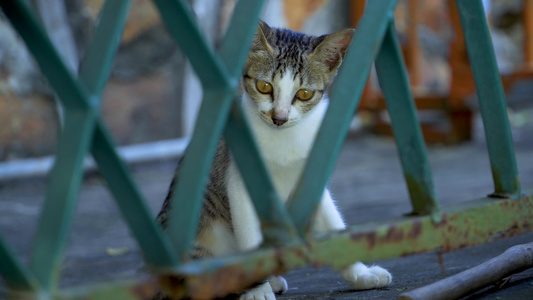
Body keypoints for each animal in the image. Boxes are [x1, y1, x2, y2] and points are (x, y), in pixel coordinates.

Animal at [156, 21, 388, 300]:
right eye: (264, 87)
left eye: (304, 93)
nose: (279, 118)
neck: (283, 140)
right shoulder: (238, 183)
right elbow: (250, 239)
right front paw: (257, 289)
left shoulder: (311, 178)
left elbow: (333, 222)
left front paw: (360, 272)